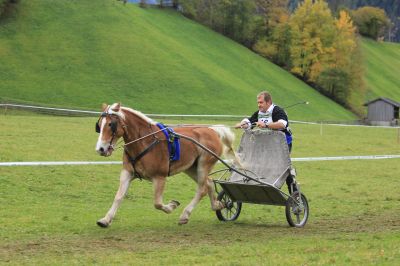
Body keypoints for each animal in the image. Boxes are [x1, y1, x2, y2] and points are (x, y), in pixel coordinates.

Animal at [95, 103, 241, 225]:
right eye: (99, 125)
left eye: (111, 124)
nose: (100, 149)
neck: (145, 141)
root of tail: (212, 130)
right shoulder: (127, 173)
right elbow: (118, 197)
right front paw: (106, 219)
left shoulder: (159, 177)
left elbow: (158, 203)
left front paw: (171, 206)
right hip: (191, 168)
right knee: (209, 183)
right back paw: (217, 205)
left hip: (203, 165)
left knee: (202, 188)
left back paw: (186, 214)